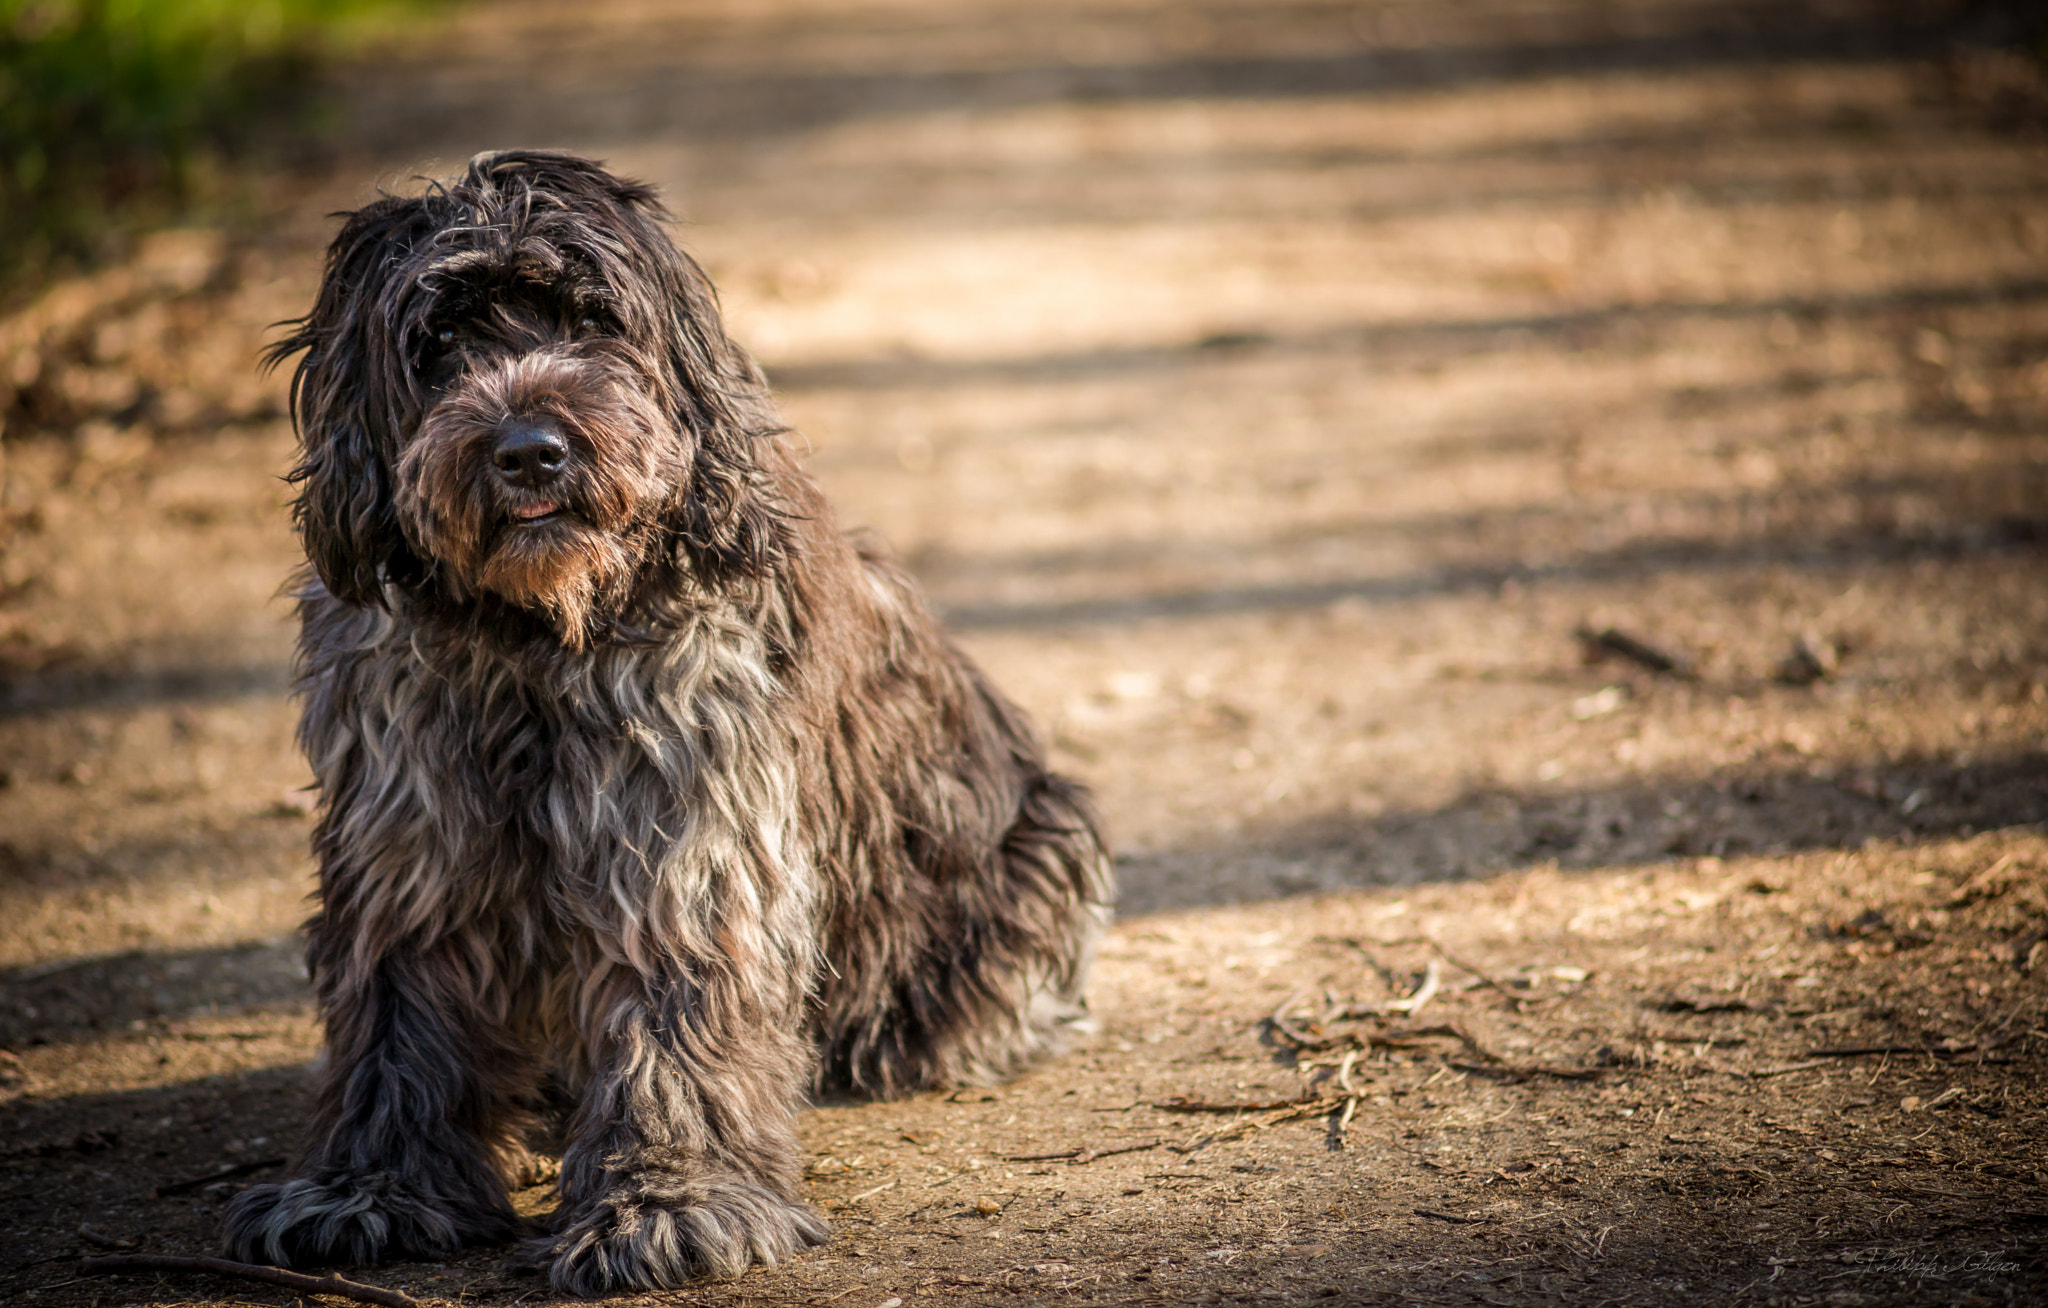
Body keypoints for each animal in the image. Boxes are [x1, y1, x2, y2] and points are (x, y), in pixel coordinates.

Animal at [224, 148, 1114, 1293]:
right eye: (439, 343)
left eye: (591, 319)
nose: (531, 451)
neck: (533, 642)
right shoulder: (412, 846)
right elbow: (395, 1024)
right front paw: (365, 1189)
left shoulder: (683, 843)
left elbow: (677, 1020)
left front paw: (666, 1201)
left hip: (1031, 855)